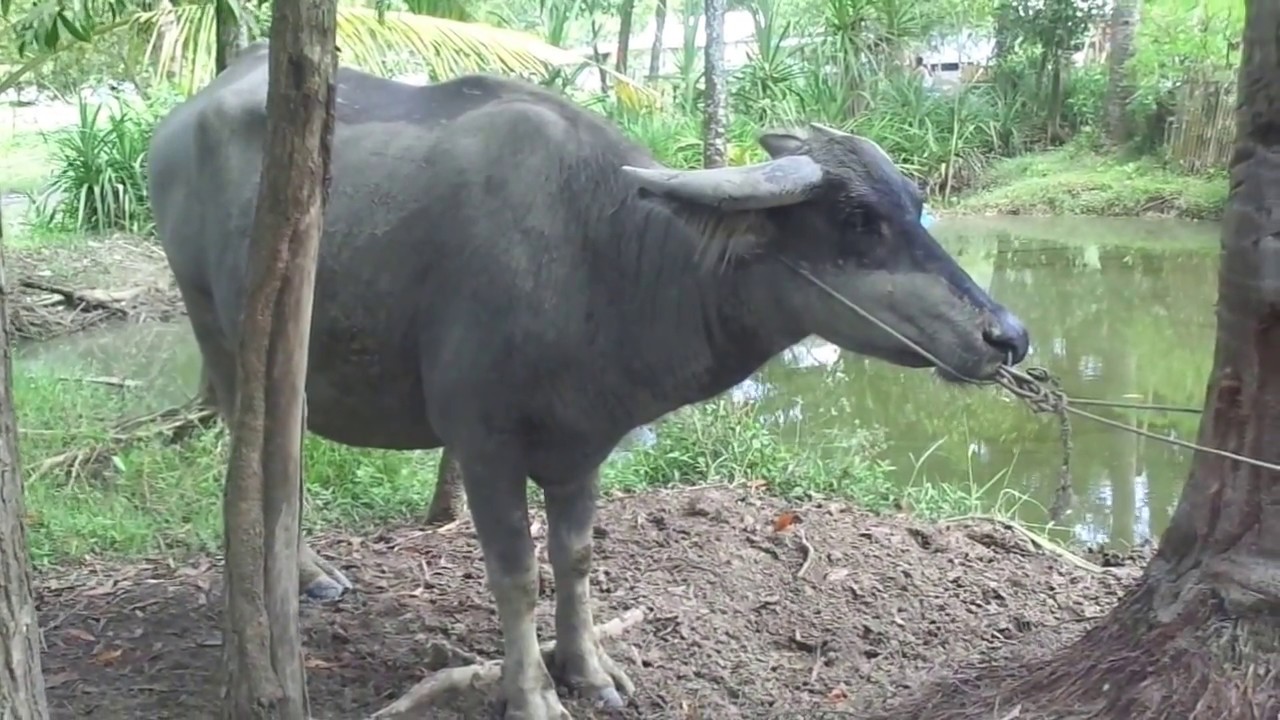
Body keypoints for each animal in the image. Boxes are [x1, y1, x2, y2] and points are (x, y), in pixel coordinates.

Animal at [149, 43, 1029, 717]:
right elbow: (516, 573)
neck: (603, 255)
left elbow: (573, 559)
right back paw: (301, 574)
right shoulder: (484, 443)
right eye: (857, 220)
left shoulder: (584, 446)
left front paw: (589, 672)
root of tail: (182, 120)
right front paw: (532, 693)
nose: (1009, 335)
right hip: (221, 333)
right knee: (256, 452)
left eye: (915, 204)